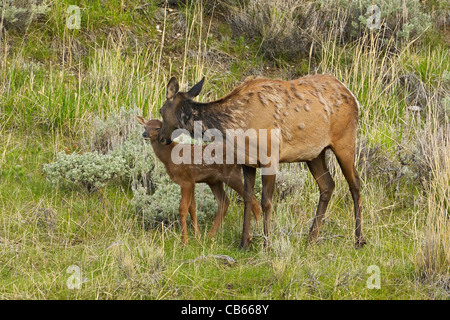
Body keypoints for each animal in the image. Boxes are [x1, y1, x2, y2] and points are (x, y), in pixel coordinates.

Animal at [135, 116, 260, 244]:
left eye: (157, 127)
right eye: (145, 126)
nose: (145, 134)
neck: (169, 157)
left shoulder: (185, 181)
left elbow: (182, 209)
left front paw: (184, 241)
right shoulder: (192, 181)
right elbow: (192, 208)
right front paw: (197, 236)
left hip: (232, 175)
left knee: (253, 200)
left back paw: (257, 234)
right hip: (214, 181)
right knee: (224, 201)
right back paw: (210, 235)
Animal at [157, 75, 366, 250]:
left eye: (161, 110)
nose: (161, 138)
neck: (237, 128)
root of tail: (354, 98)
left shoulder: (270, 157)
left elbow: (266, 201)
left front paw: (267, 244)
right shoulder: (247, 162)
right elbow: (248, 198)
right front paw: (244, 242)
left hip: (345, 140)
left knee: (355, 184)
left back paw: (358, 239)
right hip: (314, 153)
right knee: (327, 185)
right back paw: (311, 238)